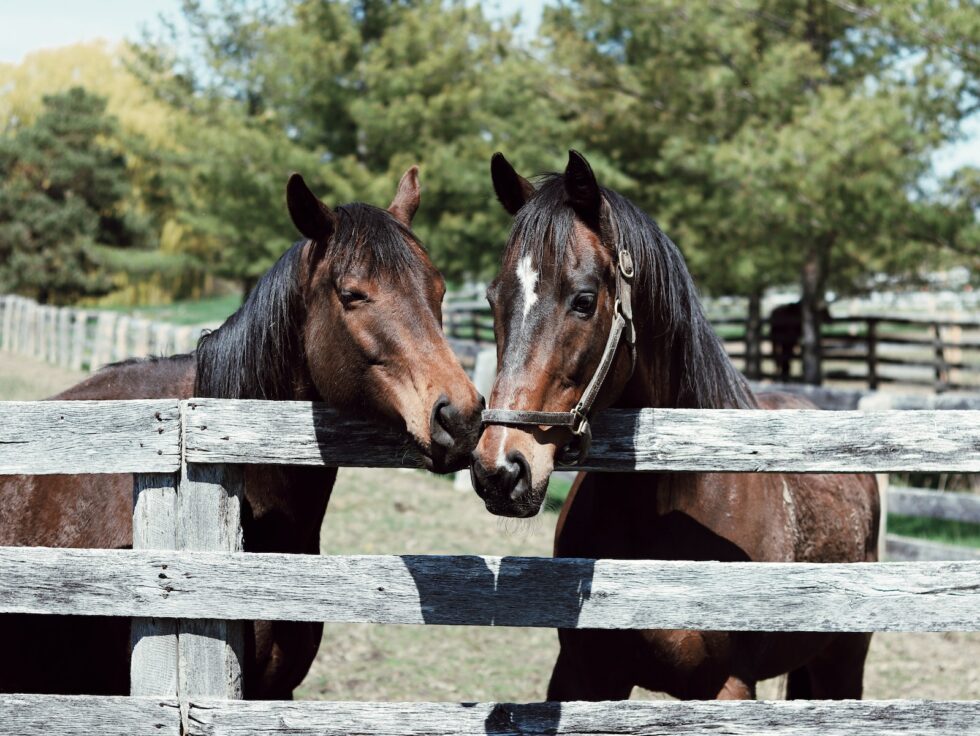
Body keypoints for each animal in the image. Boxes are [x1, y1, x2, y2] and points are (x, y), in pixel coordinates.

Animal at [470, 151, 876, 700]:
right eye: (494, 299)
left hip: (842, 663)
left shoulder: (729, 686)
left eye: (583, 299)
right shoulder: (582, 675)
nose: (501, 469)